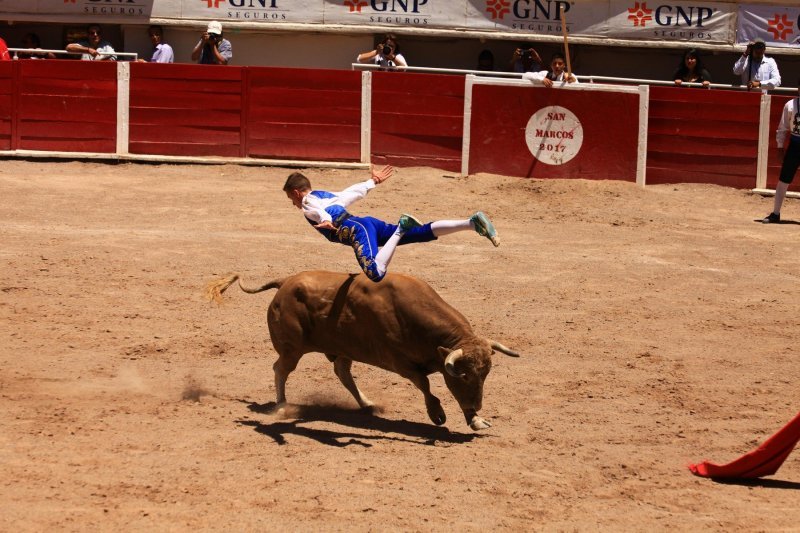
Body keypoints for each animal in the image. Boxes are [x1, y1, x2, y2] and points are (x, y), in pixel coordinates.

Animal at [206, 270, 520, 428]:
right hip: (291, 348)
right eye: (465, 375)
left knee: (342, 371)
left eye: (485, 374)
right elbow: (425, 384)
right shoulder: (400, 363)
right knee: (281, 369)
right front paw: (437, 414)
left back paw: (367, 404)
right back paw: (282, 405)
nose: (478, 405)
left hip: (342, 349)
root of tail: (285, 282)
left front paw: (475, 419)